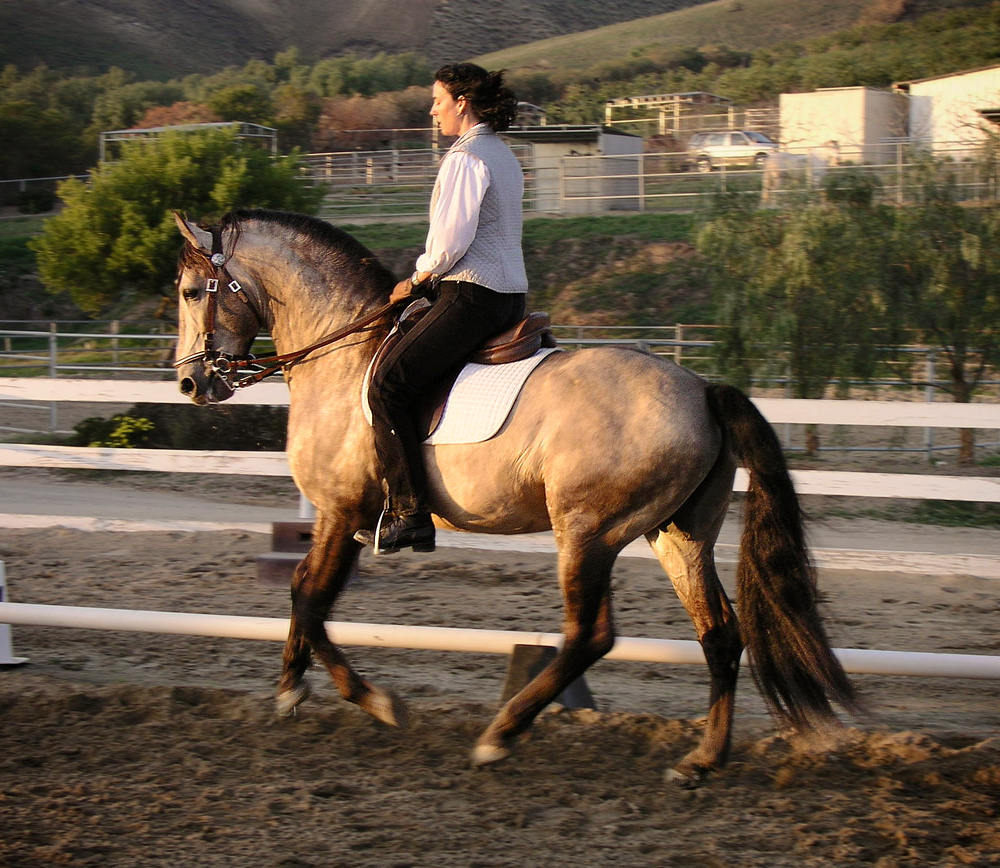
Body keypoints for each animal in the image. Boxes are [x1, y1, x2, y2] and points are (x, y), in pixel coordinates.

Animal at [174, 207, 860, 784]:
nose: (191, 383)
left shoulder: (345, 513)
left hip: (587, 532)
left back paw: (500, 735)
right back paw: (702, 760)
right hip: (676, 533)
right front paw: (289, 688)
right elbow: (300, 592)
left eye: (188, 292)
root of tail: (702, 389)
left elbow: (313, 601)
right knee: (718, 633)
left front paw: (378, 703)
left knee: (590, 635)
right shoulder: (331, 517)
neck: (340, 354)